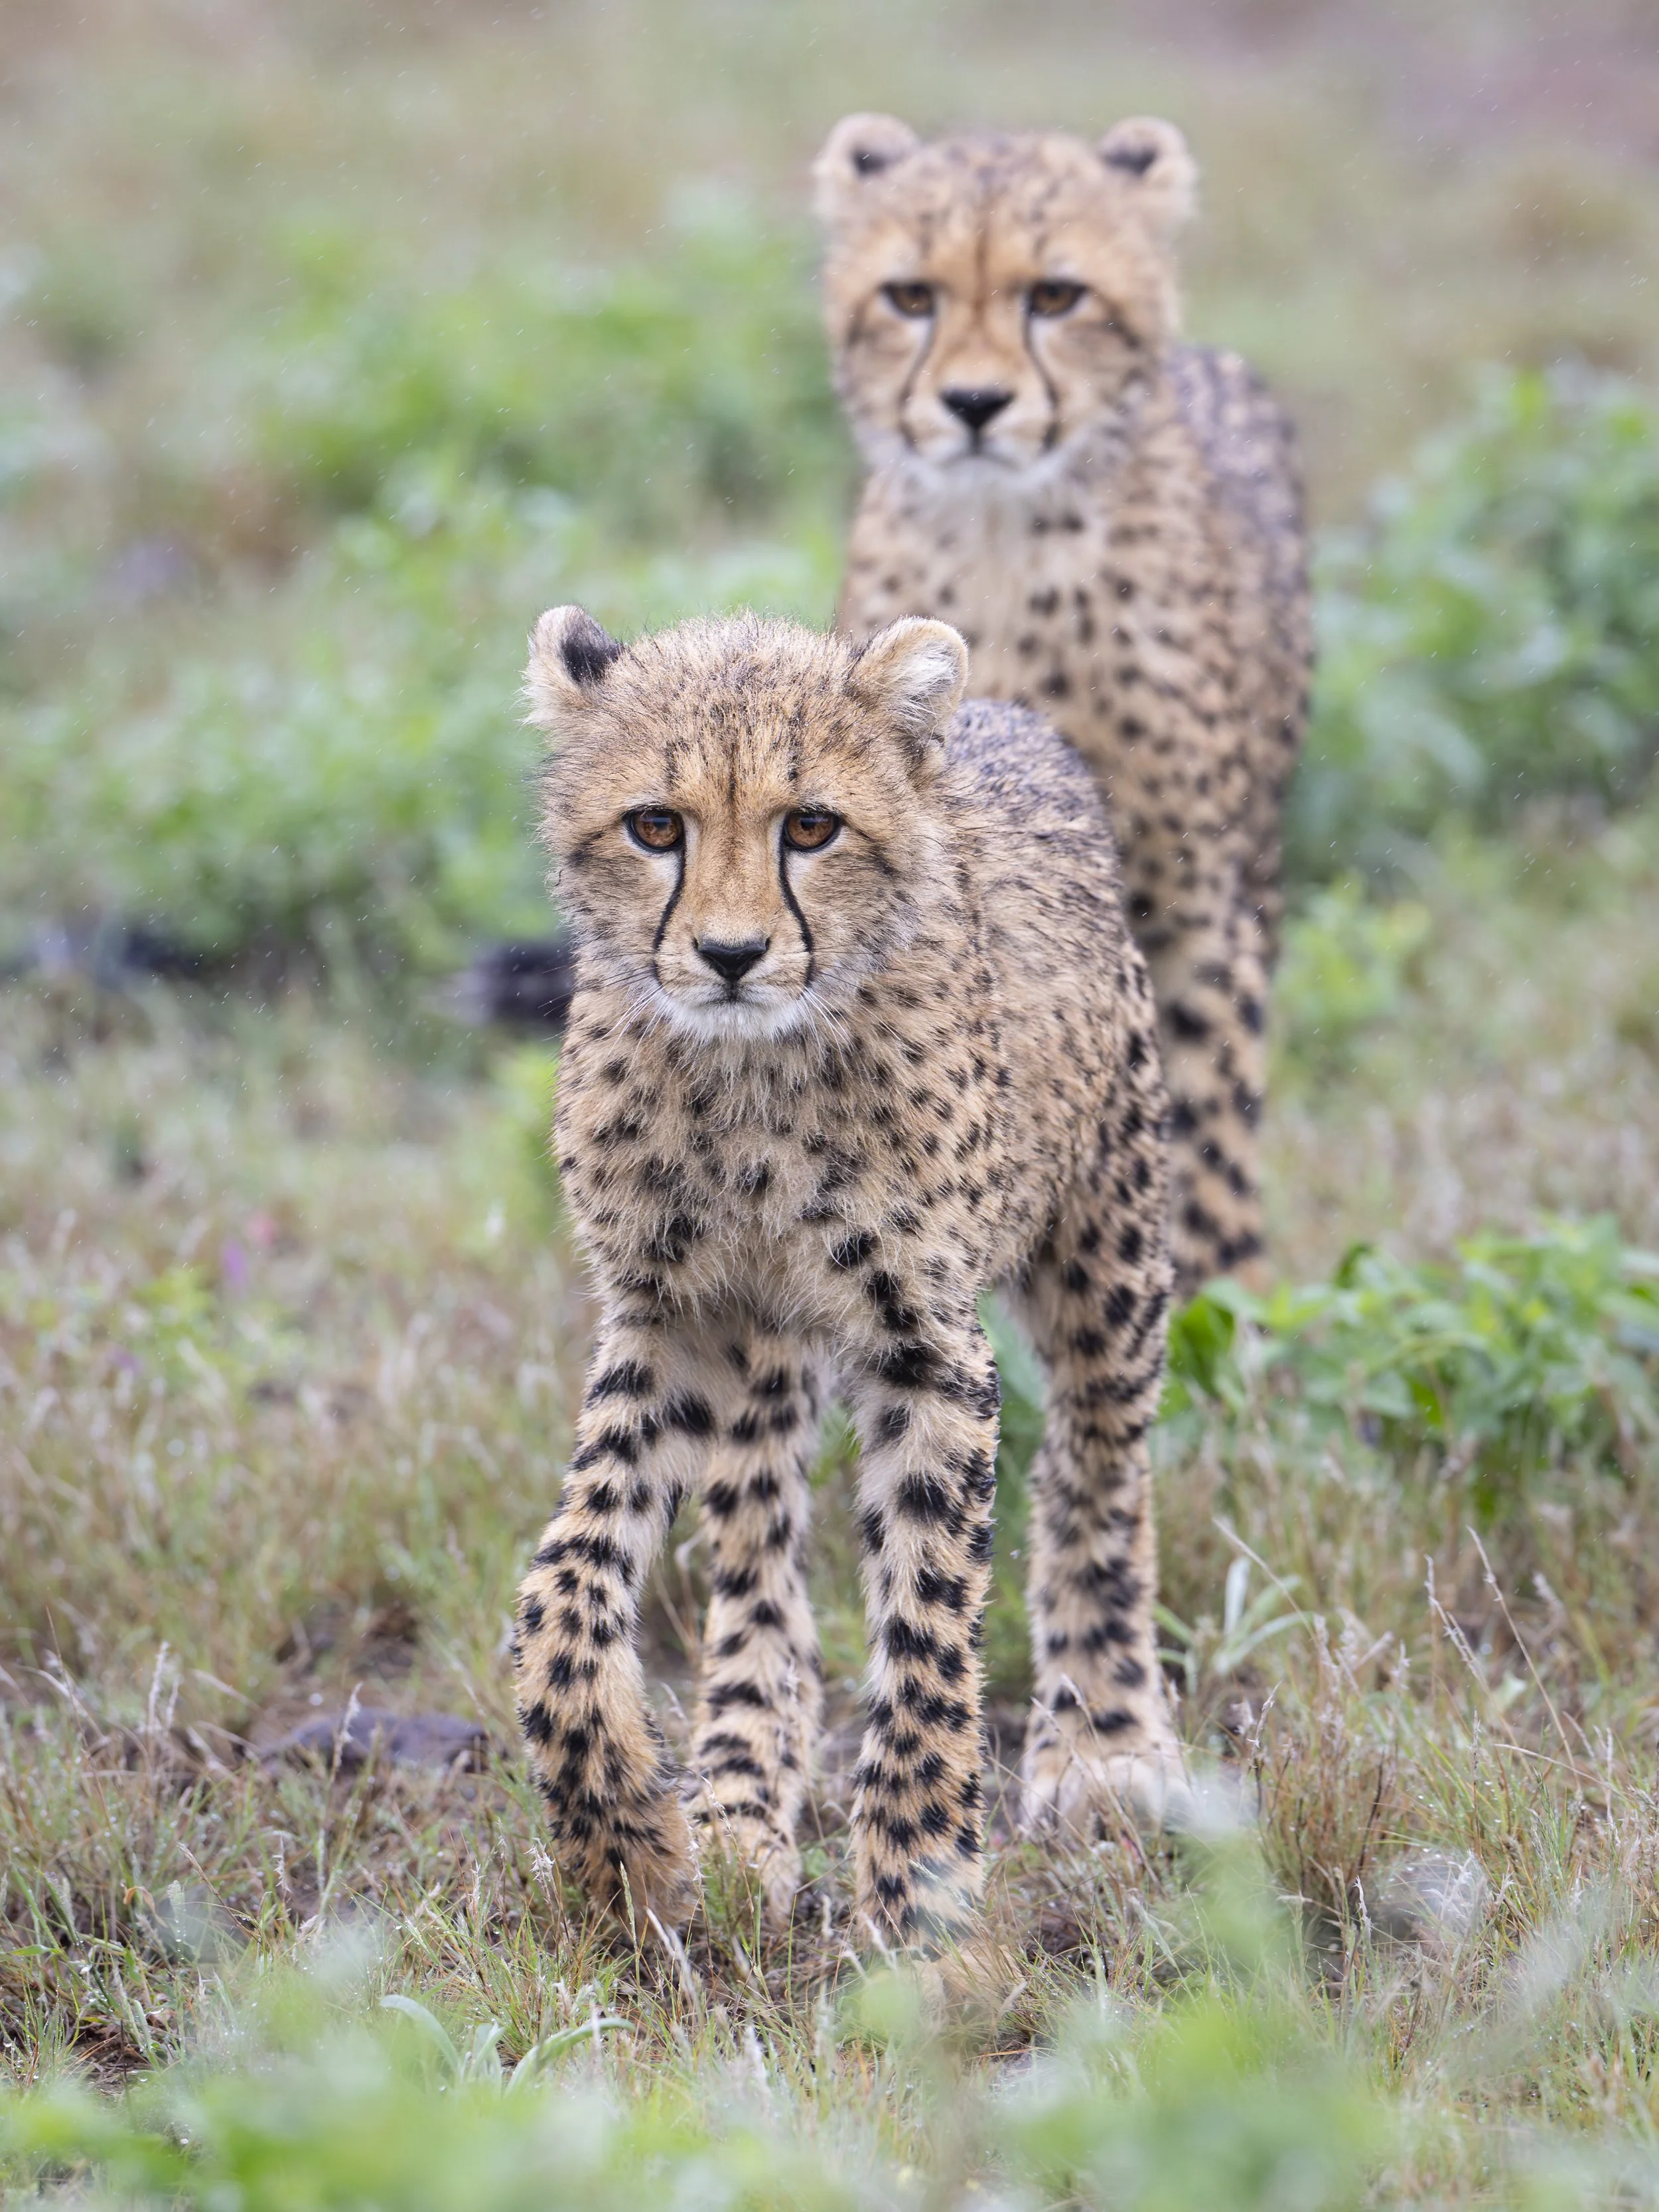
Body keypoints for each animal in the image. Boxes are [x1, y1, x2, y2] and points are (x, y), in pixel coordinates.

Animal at [512, 603, 1180, 1948]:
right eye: (655, 826)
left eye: (811, 827)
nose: (729, 953)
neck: (750, 1077)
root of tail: (1010, 717)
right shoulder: (669, 1315)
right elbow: (565, 1587)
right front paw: (629, 1847)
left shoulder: (928, 1344)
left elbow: (927, 1630)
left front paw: (924, 1904)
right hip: (764, 1345)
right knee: (757, 1544)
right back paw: (737, 1802)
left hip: (1108, 1244)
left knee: (1099, 1467)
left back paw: (1107, 1741)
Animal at [815, 111, 1312, 1302]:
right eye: (911, 296)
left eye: (1055, 295)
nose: (975, 405)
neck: (1002, 543)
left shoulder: (1192, 910)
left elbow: (1209, 1124)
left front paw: (1226, 1307)